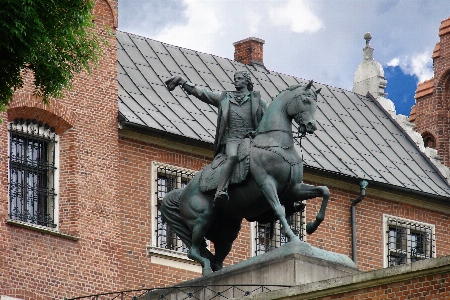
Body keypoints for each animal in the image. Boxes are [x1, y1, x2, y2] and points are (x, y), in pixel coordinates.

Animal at [160, 81, 328, 276]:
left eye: (316, 103)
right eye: (305, 100)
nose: (311, 126)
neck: (275, 144)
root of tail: (182, 192)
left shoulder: (293, 189)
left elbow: (324, 191)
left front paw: (311, 226)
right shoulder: (267, 184)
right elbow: (279, 209)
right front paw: (294, 237)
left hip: (228, 231)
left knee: (218, 258)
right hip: (202, 218)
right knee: (194, 251)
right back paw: (206, 267)